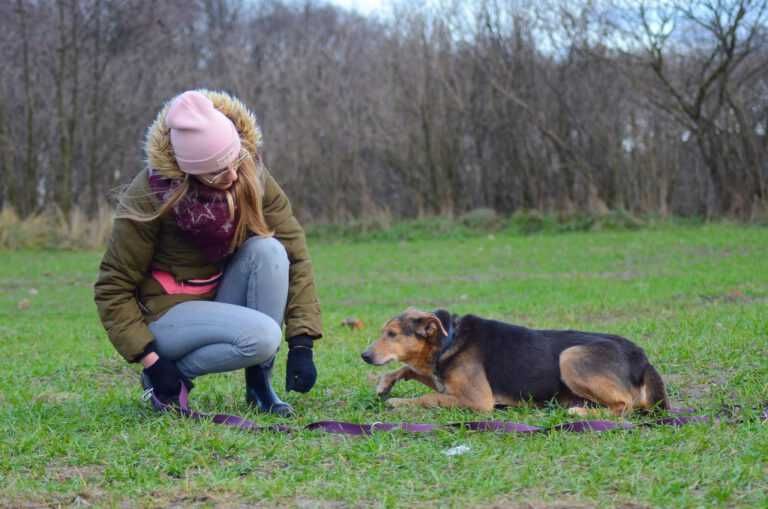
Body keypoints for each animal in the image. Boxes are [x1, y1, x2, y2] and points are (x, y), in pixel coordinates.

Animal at [360, 308, 664, 414]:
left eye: (392, 334)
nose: (364, 356)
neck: (449, 339)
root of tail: (641, 356)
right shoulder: (443, 381)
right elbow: (408, 369)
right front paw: (385, 384)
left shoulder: (478, 400)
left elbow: (426, 397)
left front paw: (399, 401)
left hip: (570, 356)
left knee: (625, 406)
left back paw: (581, 413)